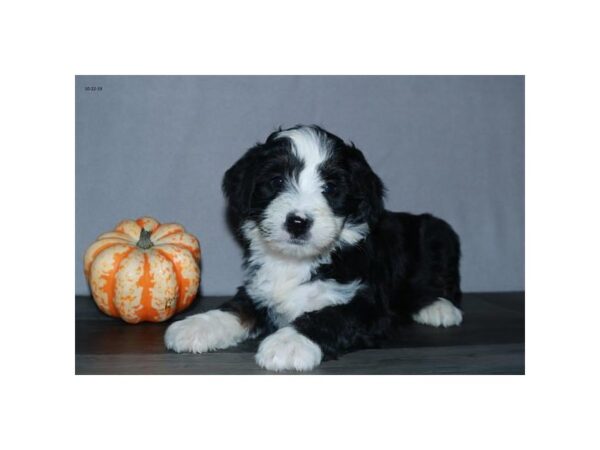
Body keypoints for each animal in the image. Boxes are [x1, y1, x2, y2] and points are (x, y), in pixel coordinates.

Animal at [165, 125, 464, 370]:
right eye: (277, 181)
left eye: (330, 187)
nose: (298, 222)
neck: (297, 261)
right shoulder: (259, 290)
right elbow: (235, 309)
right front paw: (196, 325)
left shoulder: (368, 305)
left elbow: (330, 316)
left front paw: (288, 343)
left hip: (440, 234)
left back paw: (439, 307)